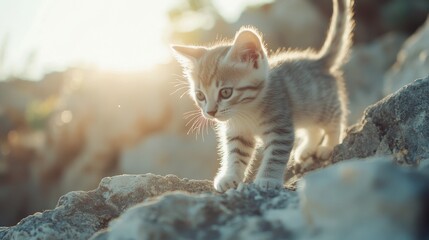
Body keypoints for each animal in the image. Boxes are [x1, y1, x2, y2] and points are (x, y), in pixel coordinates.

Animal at [172, 0, 352, 191]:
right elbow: (236, 153)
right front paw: (230, 176)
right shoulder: (238, 132)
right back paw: (306, 149)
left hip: (322, 105)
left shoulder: (280, 127)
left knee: (334, 122)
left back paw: (328, 146)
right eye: (200, 96)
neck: (246, 110)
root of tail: (318, 60)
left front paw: (268, 179)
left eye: (226, 92)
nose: (210, 112)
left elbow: (275, 155)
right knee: (313, 128)